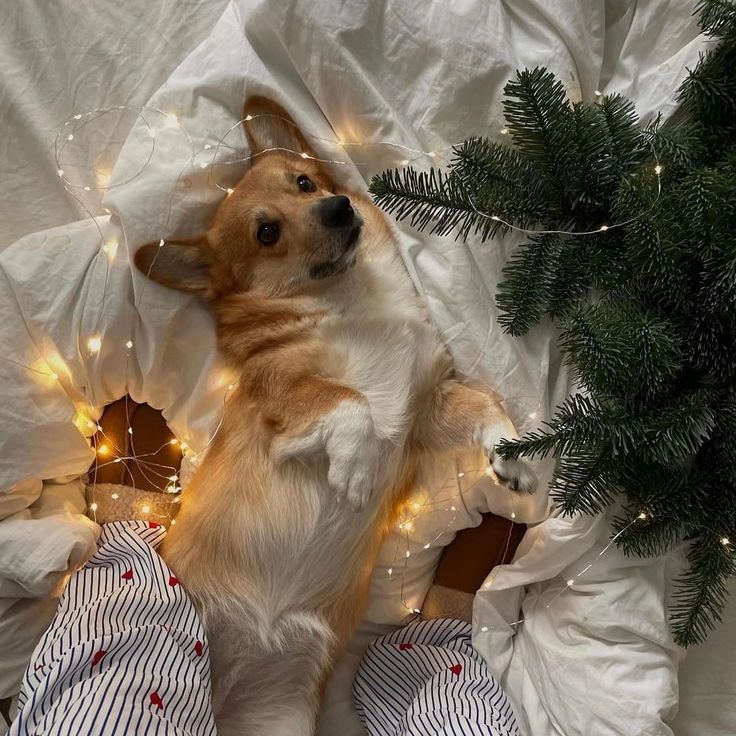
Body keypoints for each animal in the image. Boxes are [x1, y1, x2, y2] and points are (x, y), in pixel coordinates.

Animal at [134, 99, 536, 736]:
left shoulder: (428, 407)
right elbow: (351, 403)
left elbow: (485, 405)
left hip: (285, 715)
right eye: (267, 232)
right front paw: (354, 467)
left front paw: (509, 452)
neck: (353, 297)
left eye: (304, 183)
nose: (337, 206)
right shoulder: (285, 396)